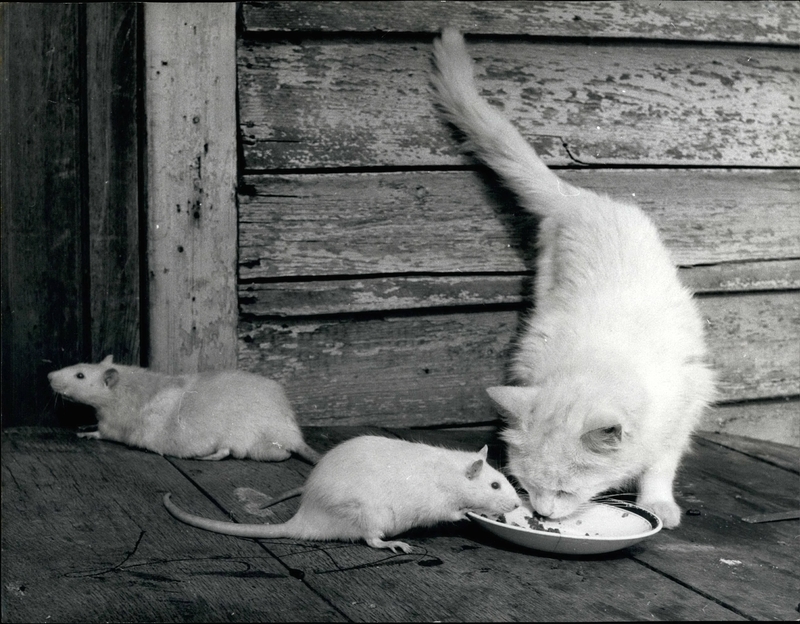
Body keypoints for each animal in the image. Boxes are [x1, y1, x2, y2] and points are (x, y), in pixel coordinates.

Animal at [434, 29, 716, 528]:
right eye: (527, 485)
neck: (604, 357)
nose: (543, 514)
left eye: (566, 491)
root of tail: (577, 199)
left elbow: (661, 462)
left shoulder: (688, 399)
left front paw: (658, 503)